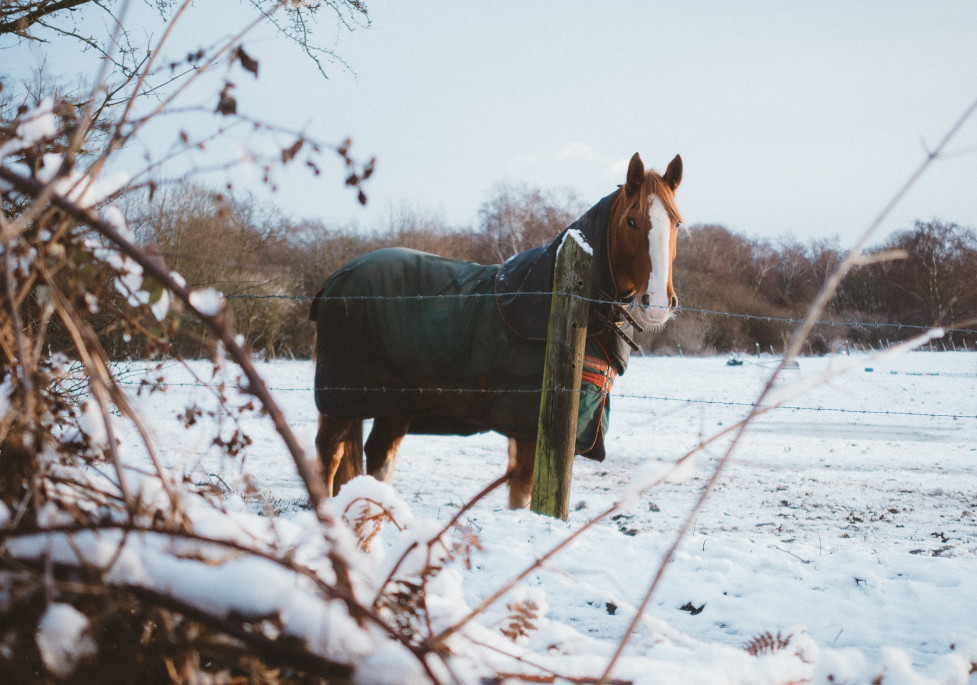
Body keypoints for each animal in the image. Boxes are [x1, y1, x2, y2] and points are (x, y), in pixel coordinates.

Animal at [308, 155, 684, 508]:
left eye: (677, 223)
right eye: (631, 220)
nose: (657, 304)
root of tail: (336, 279)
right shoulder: (529, 428)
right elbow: (523, 496)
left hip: (394, 405)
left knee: (379, 457)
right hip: (340, 402)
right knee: (329, 456)